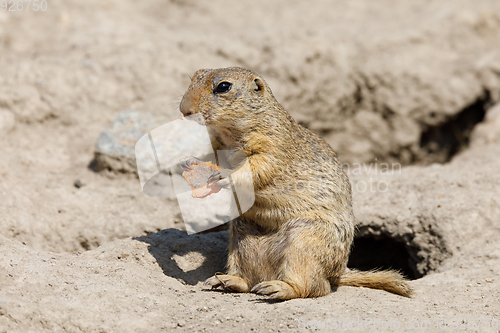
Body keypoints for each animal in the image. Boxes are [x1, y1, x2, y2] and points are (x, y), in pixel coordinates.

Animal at [179, 65, 410, 298]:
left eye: (224, 86)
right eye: (194, 76)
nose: (184, 110)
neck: (229, 133)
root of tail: (337, 275)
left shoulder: (273, 145)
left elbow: (257, 167)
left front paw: (222, 175)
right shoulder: (217, 145)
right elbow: (210, 156)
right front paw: (188, 162)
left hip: (304, 241)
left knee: (314, 287)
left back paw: (277, 288)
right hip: (240, 238)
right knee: (249, 281)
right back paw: (225, 280)